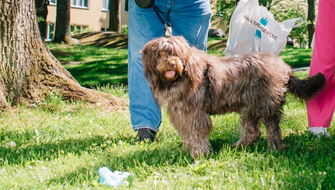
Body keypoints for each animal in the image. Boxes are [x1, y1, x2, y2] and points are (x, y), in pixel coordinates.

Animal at [141, 36, 326, 157]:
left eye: (177, 54)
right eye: (160, 54)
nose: (172, 63)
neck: (181, 76)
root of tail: (285, 67)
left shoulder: (195, 114)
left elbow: (197, 134)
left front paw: (199, 154)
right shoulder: (182, 115)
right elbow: (188, 135)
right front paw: (189, 151)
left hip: (267, 104)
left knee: (272, 128)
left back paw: (275, 148)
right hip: (249, 107)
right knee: (253, 131)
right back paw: (238, 146)